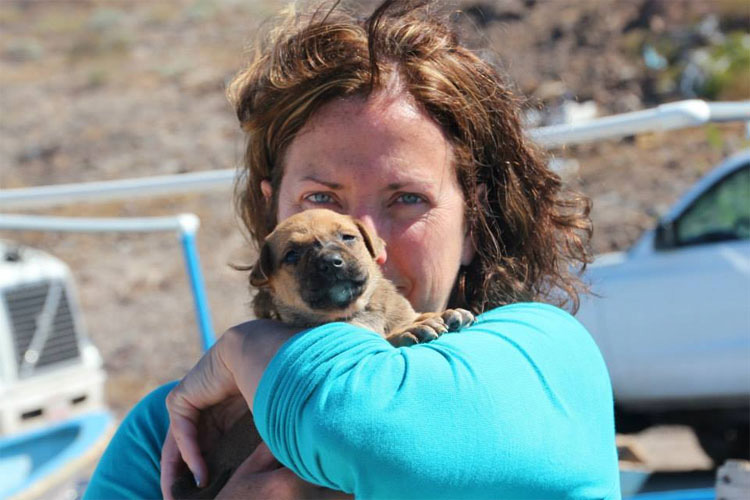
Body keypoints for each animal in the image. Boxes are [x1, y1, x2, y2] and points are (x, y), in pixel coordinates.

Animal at [173, 209, 472, 498]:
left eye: (348, 237)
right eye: (292, 254)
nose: (331, 262)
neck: (357, 310)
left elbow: (413, 315)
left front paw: (444, 314)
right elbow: (387, 337)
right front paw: (413, 329)